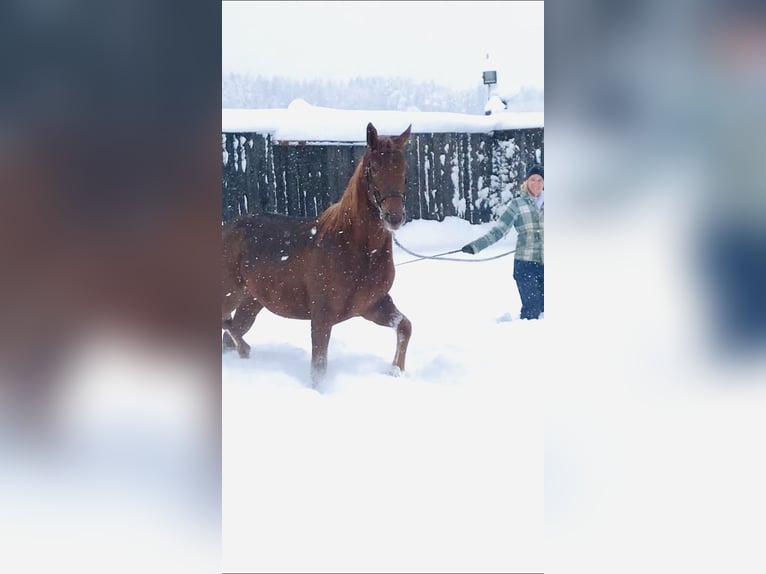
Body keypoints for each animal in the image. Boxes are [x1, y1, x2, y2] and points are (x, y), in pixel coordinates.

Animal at [222, 124, 414, 390]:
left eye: (404, 168)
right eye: (373, 168)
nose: (394, 217)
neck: (357, 249)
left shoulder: (373, 305)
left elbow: (405, 326)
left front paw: (396, 371)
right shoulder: (322, 316)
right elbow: (319, 368)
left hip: (252, 302)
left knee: (231, 332)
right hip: (229, 295)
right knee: (227, 327)